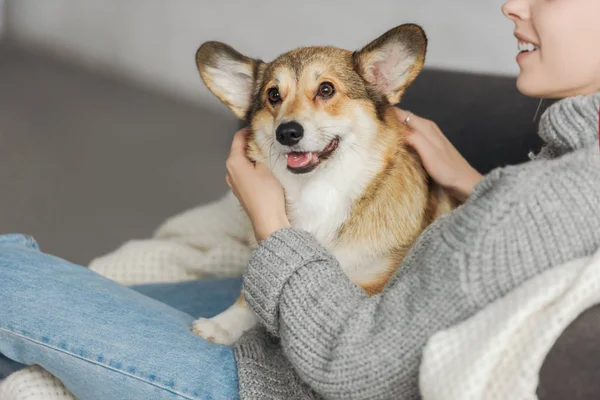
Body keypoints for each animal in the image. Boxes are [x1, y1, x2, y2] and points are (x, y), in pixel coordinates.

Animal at [190, 23, 458, 346]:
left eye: (326, 89)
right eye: (273, 95)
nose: (287, 133)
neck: (319, 189)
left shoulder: (371, 286)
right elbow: (249, 297)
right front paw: (221, 324)